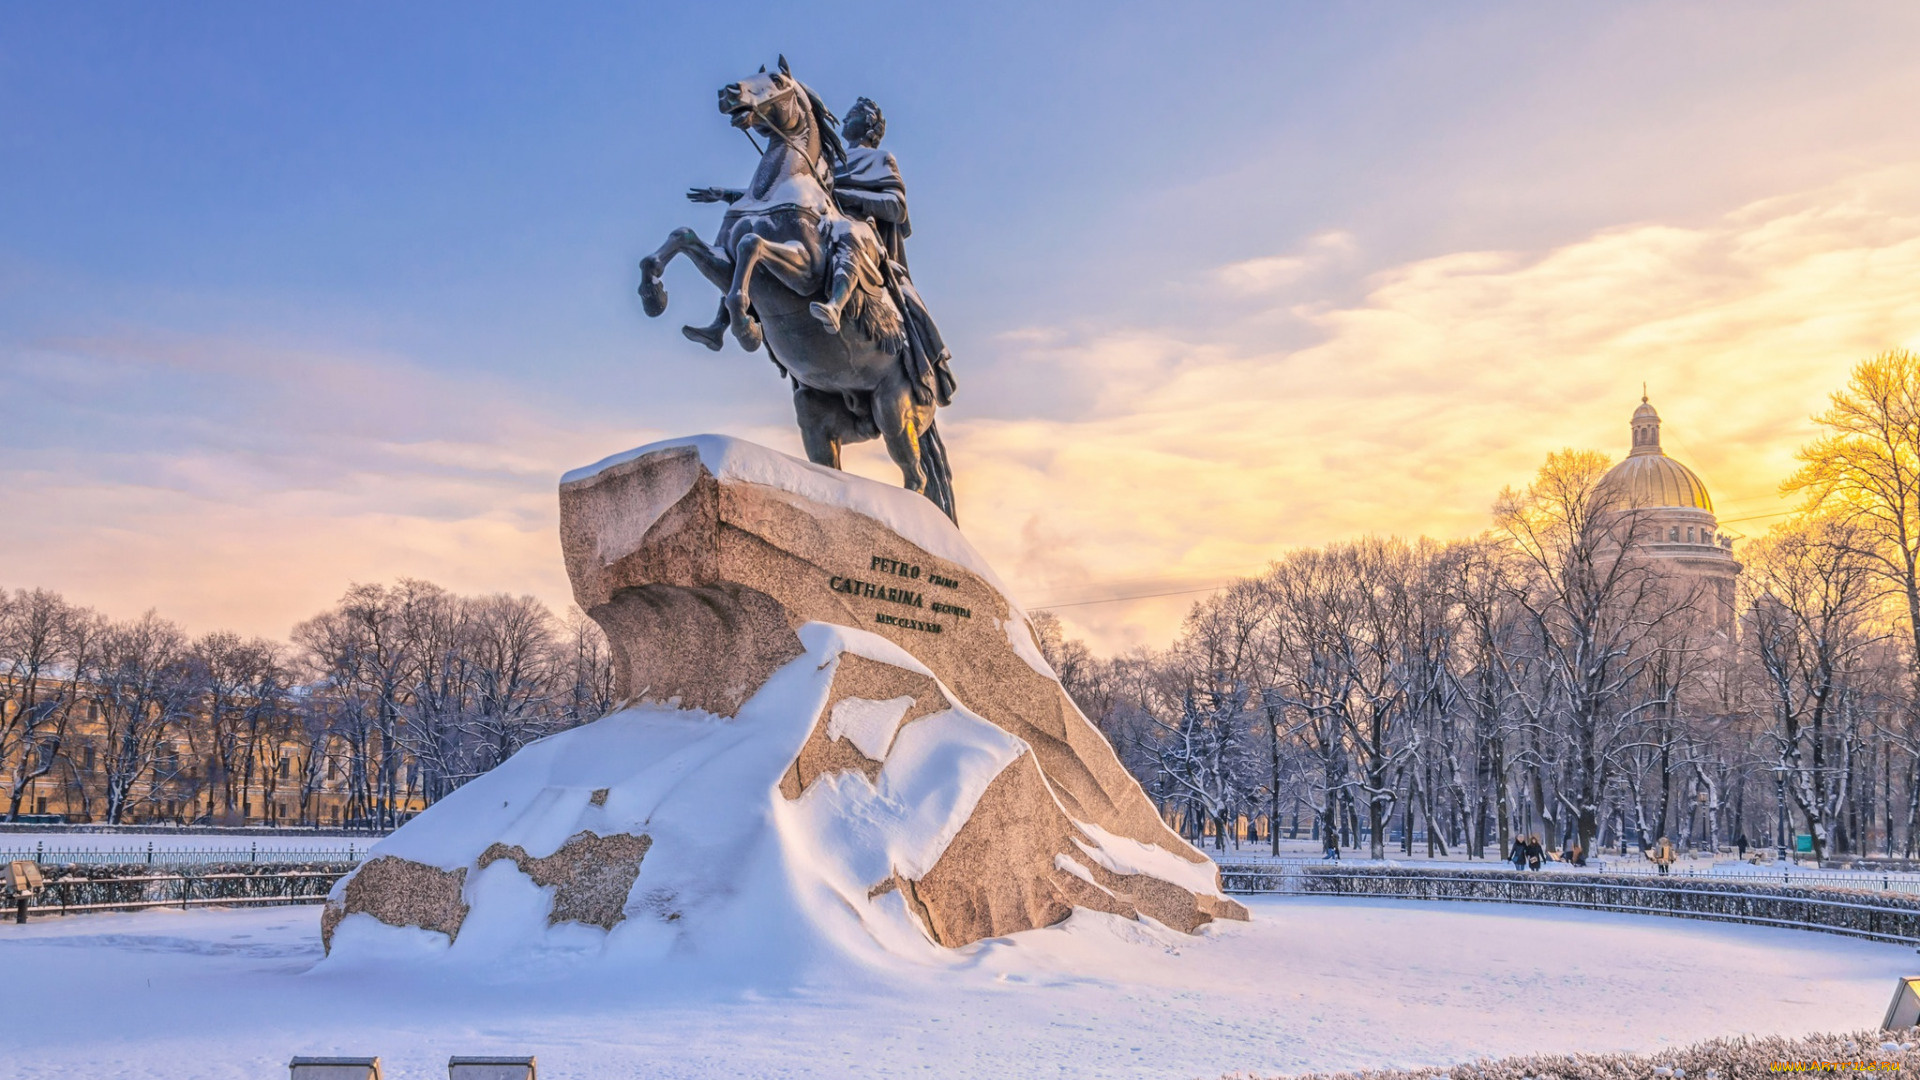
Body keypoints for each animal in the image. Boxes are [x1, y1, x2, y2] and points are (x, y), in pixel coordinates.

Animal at [633, 58, 956, 522]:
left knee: (917, 478)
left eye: (777, 81)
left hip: (894, 413)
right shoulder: (723, 263)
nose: (729, 92)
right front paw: (654, 296)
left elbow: (752, 247)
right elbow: (685, 237)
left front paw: (748, 330)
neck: (774, 188)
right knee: (837, 463)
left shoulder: (803, 271)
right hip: (817, 419)